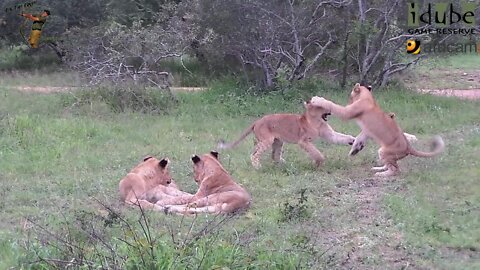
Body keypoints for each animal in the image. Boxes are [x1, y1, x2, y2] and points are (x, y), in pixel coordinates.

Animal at [218, 101, 356, 169]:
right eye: (321, 106)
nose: (330, 110)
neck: (317, 121)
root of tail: (257, 121)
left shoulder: (330, 134)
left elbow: (341, 137)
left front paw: (353, 140)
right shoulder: (303, 141)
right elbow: (316, 152)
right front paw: (319, 162)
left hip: (278, 141)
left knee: (274, 156)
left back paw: (284, 164)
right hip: (267, 140)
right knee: (254, 153)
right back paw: (258, 167)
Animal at [310, 83, 444, 178]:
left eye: (350, 96)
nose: (348, 101)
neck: (368, 97)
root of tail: (409, 148)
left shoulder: (347, 112)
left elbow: (332, 105)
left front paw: (318, 99)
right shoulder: (366, 130)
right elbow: (360, 137)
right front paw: (355, 149)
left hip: (384, 152)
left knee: (396, 170)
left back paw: (381, 174)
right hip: (386, 155)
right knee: (390, 165)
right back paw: (377, 168)